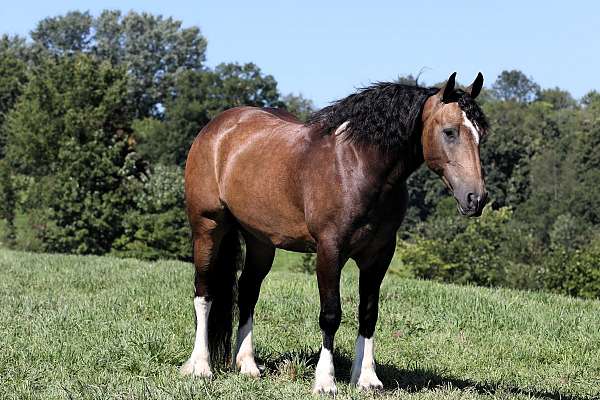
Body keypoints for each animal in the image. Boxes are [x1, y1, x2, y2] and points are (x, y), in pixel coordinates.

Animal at [182, 72, 488, 394]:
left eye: (481, 134)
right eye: (450, 132)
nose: (476, 199)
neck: (357, 167)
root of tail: (218, 127)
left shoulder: (378, 255)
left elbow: (368, 313)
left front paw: (366, 378)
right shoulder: (330, 250)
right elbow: (330, 315)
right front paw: (325, 381)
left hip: (260, 241)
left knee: (248, 292)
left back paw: (247, 365)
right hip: (207, 229)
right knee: (204, 293)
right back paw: (200, 367)